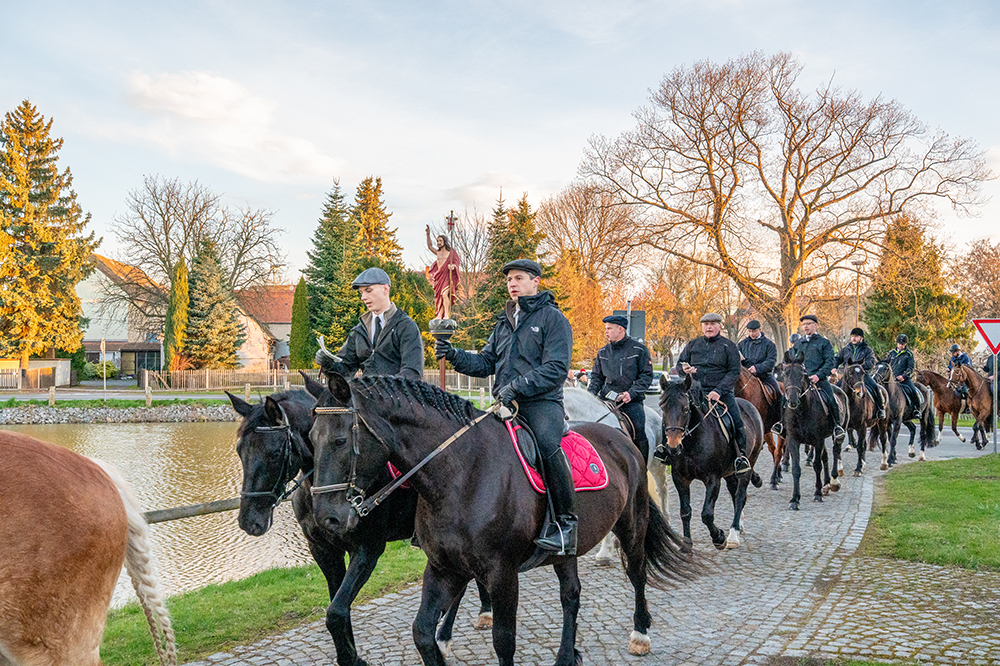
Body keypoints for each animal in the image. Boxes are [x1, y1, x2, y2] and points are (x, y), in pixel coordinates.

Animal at [227, 386, 491, 666]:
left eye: (274, 453)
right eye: (240, 450)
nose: (249, 521)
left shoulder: (367, 550)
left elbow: (336, 612)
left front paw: (352, 658)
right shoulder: (323, 551)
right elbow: (338, 606)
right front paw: (349, 653)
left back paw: (456, 629)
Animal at [658, 374, 765, 550]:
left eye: (685, 409)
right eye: (663, 408)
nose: (673, 447)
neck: (693, 442)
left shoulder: (713, 479)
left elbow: (707, 514)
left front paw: (719, 538)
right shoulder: (680, 478)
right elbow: (685, 511)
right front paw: (686, 545)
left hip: (749, 464)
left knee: (740, 496)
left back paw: (733, 534)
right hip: (730, 472)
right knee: (734, 493)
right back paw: (738, 526)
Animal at [779, 361, 849, 510]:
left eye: (801, 375)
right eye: (784, 374)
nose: (792, 400)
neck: (802, 411)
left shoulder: (817, 440)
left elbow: (817, 465)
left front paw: (817, 494)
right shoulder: (793, 440)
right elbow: (796, 469)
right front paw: (795, 499)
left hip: (837, 433)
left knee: (835, 451)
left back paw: (834, 481)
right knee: (825, 457)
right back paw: (827, 484)